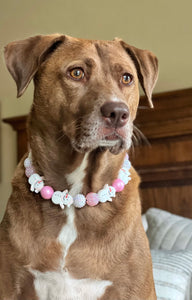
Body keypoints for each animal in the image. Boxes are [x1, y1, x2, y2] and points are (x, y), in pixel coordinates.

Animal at [0, 34, 158, 298]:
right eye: (76, 73)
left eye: (127, 78)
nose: (118, 113)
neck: (75, 198)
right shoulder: (11, 285)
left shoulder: (134, 289)